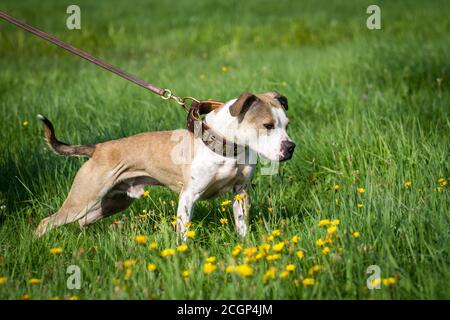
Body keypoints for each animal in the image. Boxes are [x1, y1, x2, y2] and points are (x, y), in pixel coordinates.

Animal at [34, 91, 296, 239]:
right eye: (267, 125)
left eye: (286, 124)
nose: (291, 147)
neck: (227, 147)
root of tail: (98, 148)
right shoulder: (188, 196)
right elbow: (183, 231)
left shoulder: (240, 192)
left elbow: (241, 225)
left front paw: (244, 247)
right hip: (83, 199)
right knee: (47, 222)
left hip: (113, 203)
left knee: (82, 221)